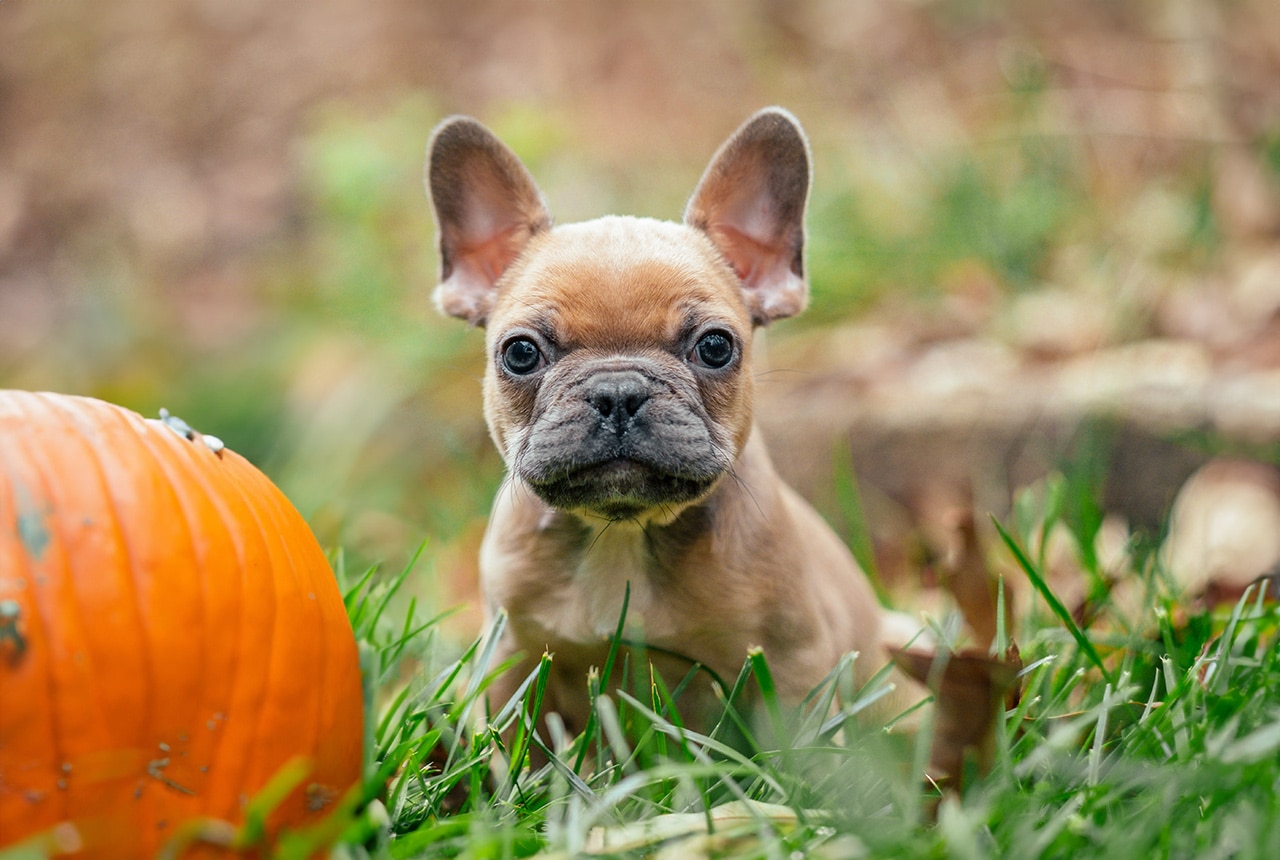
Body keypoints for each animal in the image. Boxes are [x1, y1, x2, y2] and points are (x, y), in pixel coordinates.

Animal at [427, 107, 921, 737]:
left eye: (715, 347)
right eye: (520, 353)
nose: (618, 393)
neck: (622, 531)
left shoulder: (794, 671)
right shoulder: (511, 664)